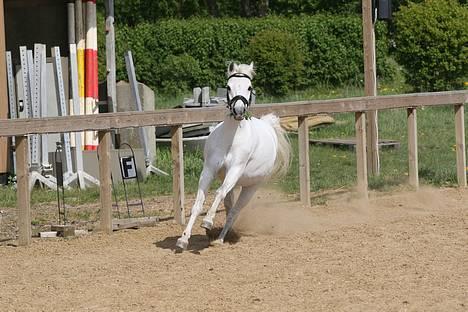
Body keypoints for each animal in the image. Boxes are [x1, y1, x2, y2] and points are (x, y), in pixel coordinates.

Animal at [176, 62, 290, 250]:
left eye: (249, 87)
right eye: (228, 86)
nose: (238, 110)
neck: (231, 139)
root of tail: (268, 125)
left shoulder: (235, 170)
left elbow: (219, 193)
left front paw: (207, 222)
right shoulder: (209, 170)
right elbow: (198, 203)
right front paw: (183, 239)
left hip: (250, 187)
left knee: (234, 211)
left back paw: (220, 239)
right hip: (234, 183)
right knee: (229, 206)